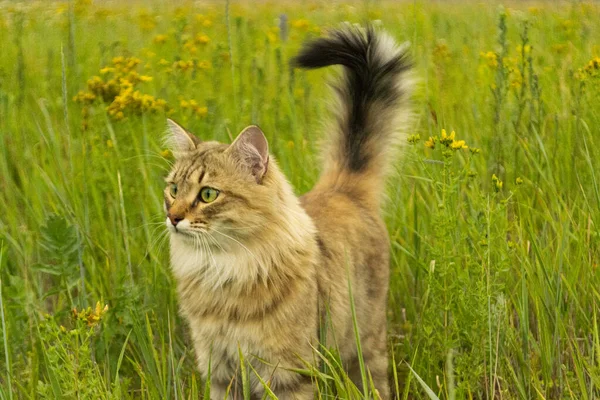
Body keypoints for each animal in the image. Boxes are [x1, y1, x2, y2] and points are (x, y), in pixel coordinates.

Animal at [164, 25, 412, 400]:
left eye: (208, 195)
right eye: (173, 190)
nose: (173, 218)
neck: (222, 270)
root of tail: (342, 187)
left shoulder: (287, 374)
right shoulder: (221, 372)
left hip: (364, 345)